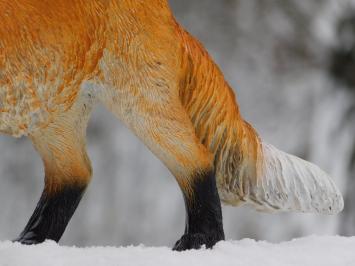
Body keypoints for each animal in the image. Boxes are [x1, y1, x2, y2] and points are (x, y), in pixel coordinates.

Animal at [0, 0, 344, 250]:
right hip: (51, 110)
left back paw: (201, 241)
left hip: (139, 100)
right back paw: (30, 241)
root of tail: (165, 9)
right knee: (74, 173)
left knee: (196, 159)